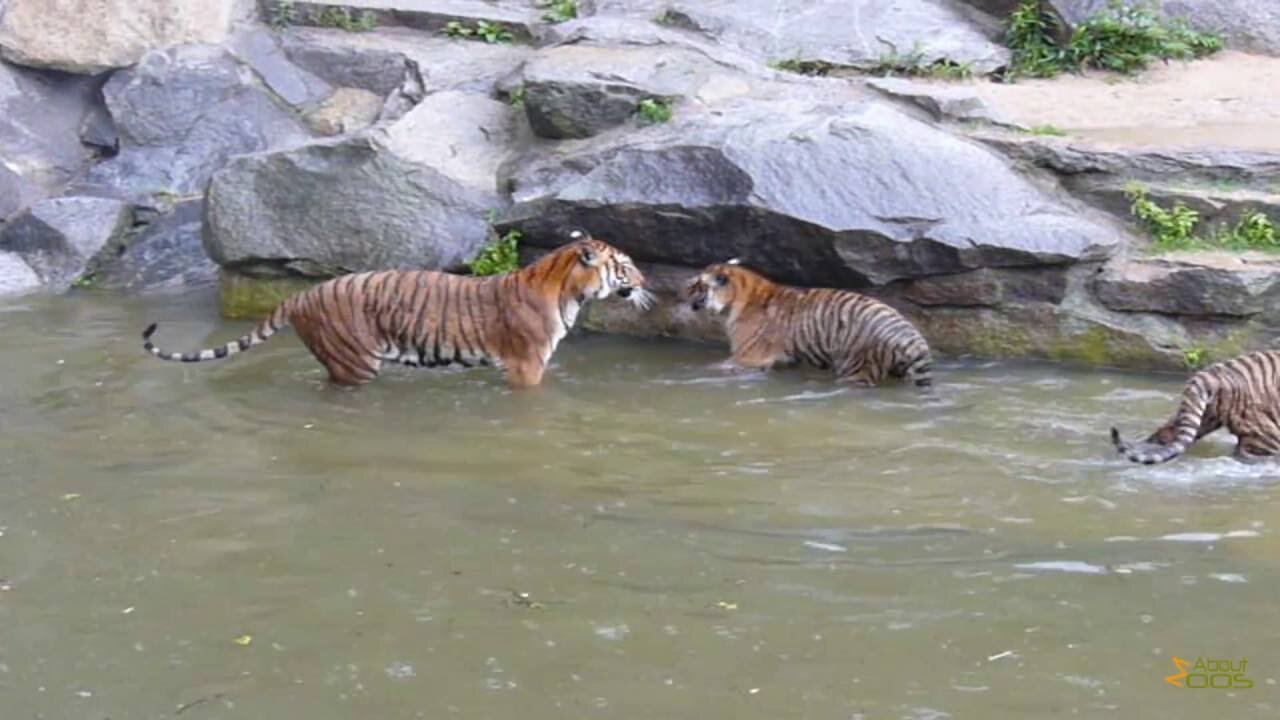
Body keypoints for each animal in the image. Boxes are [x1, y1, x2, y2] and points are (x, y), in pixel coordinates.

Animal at [145, 229, 655, 386]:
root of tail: (301, 294)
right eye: (626, 266)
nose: (648, 282)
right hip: (355, 360)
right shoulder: (527, 365)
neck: (565, 287)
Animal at [686, 254, 936, 384]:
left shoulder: (748, 357)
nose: (685, 293)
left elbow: (715, 366)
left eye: (698, 285)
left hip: (857, 369)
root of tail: (913, 341)